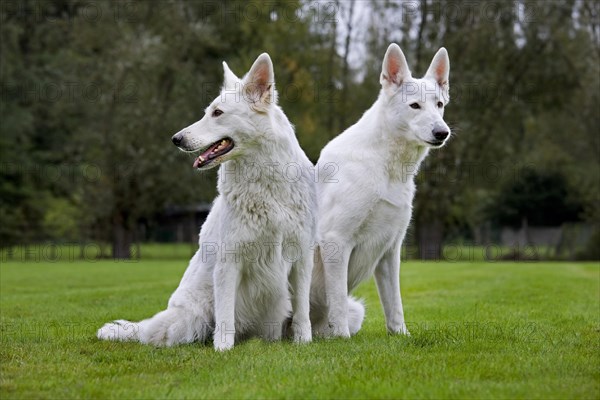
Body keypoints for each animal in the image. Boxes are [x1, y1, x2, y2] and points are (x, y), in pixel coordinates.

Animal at [96, 52, 316, 350]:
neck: (266, 183)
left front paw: (303, 342)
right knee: (155, 335)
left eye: (217, 113)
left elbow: (303, 311)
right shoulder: (228, 262)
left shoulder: (302, 258)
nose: (176, 139)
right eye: (207, 112)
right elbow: (225, 316)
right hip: (189, 318)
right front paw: (223, 349)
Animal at [310, 43, 450, 338]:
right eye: (414, 106)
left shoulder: (390, 251)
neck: (387, 167)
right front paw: (342, 339)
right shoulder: (335, 241)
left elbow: (394, 303)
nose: (442, 132)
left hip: (358, 310)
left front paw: (401, 336)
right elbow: (337, 300)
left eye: (439, 105)